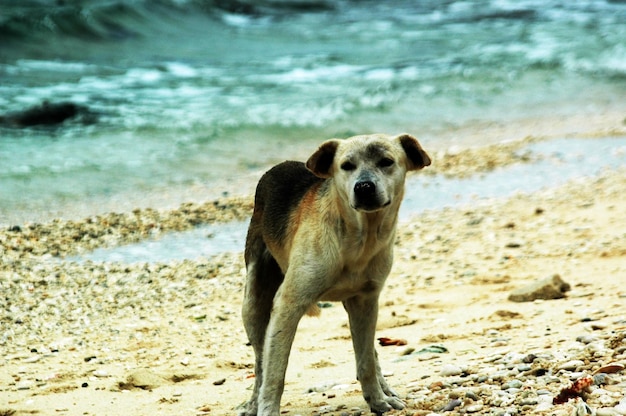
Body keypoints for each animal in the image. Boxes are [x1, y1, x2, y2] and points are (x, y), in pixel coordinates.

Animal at [239, 134, 428, 416]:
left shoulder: (366, 302)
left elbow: (366, 361)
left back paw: (385, 389)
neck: (358, 239)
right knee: (260, 363)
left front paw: (377, 399)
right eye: (346, 166)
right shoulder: (288, 305)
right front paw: (267, 408)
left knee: (370, 352)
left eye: (386, 162)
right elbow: (274, 373)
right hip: (252, 304)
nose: (364, 187)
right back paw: (253, 403)